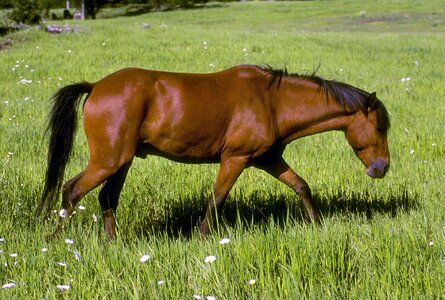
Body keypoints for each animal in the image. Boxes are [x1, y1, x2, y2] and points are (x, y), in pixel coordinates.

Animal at [37, 65, 388, 239]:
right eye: (381, 127)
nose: (382, 168)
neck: (273, 101)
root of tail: (96, 86)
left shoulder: (268, 159)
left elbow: (301, 185)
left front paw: (316, 225)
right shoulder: (236, 158)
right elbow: (217, 198)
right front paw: (203, 237)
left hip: (121, 162)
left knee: (107, 197)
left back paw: (113, 243)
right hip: (107, 161)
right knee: (71, 190)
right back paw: (56, 241)